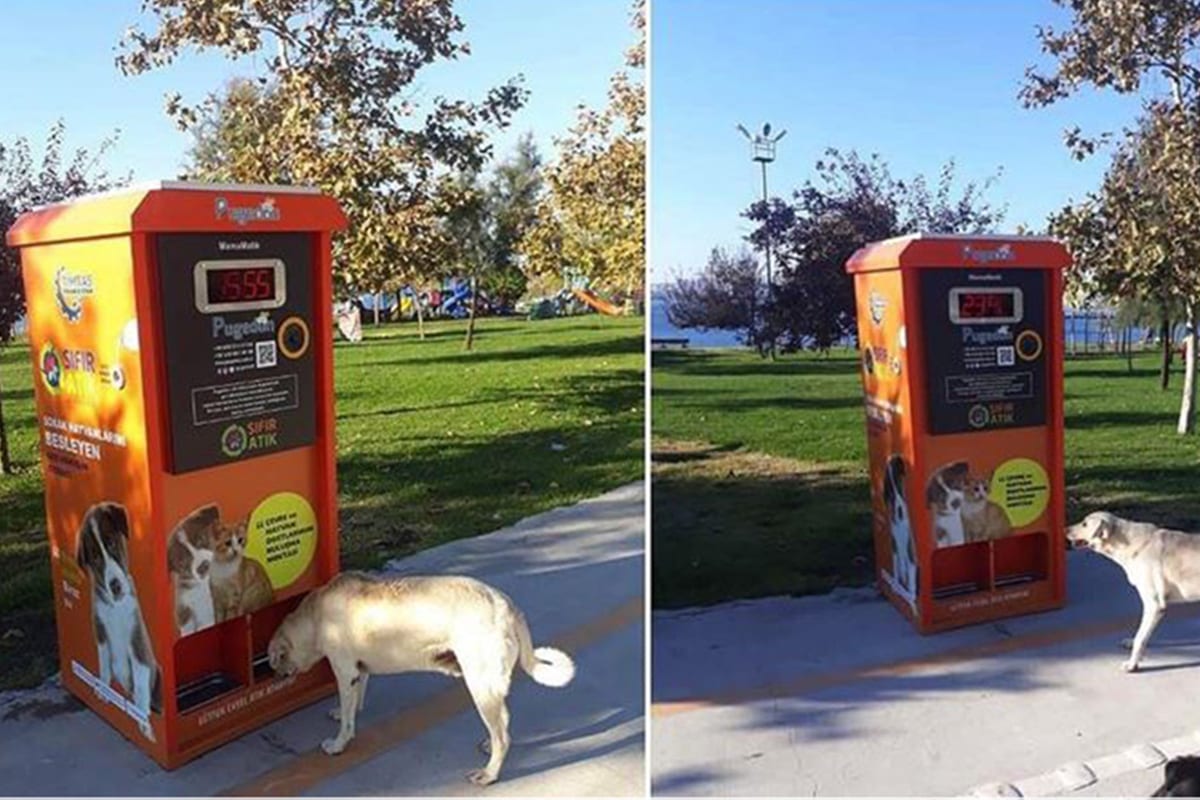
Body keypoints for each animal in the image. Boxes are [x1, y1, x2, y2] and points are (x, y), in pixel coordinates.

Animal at [268, 573, 576, 786]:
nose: (277, 675)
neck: (315, 616)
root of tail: (508, 606)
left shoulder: (345, 672)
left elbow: (346, 720)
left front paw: (338, 743)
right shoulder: (359, 671)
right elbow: (354, 702)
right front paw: (345, 711)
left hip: (479, 685)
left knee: (503, 736)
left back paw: (489, 773)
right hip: (490, 687)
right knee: (504, 721)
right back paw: (489, 746)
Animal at [1070, 513, 1200, 671]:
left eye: (1084, 524)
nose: (1064, 530)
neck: (1133, 545)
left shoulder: (1154, 605)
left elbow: (1140, 637)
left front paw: (1132, 664)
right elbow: (1142, 633)